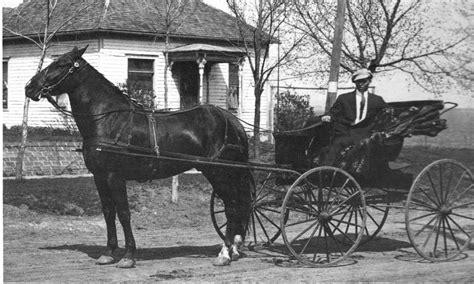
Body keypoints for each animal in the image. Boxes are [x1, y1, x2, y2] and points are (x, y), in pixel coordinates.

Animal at [24, 45, 254, 268]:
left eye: (61, 64)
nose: (29, 87)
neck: (108, 120)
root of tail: (232, 121)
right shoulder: (100, 177)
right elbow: (108, 212)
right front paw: (108, 253)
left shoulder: (114, 177)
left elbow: (124, 213)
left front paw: (128, 256)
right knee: (238, 206)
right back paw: (234, 249)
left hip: (219, 173)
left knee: (232, 207)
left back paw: (224, 254)